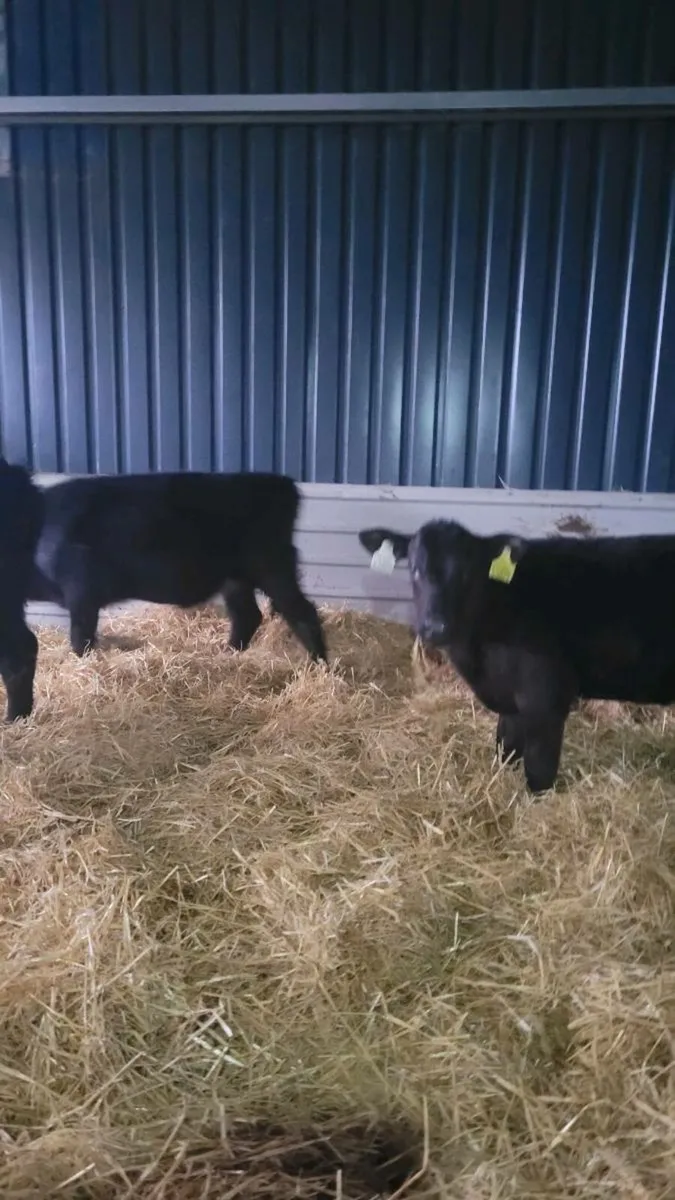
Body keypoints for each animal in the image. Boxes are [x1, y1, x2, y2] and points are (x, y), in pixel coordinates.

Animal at [29, 471, 327, 664]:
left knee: (303, 612)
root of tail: (284, 485)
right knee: (248, 615)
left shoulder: (82, 593)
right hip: (236, 578)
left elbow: (80, 638)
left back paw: (318, 666)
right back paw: (228, 654)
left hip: (272, 565)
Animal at [359, 519, 675, 793]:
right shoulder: (510, 700)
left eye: (467, 574)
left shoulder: (546, 698)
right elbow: (505, 749)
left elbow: (538, 770)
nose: (435, 627)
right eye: (414, 569)